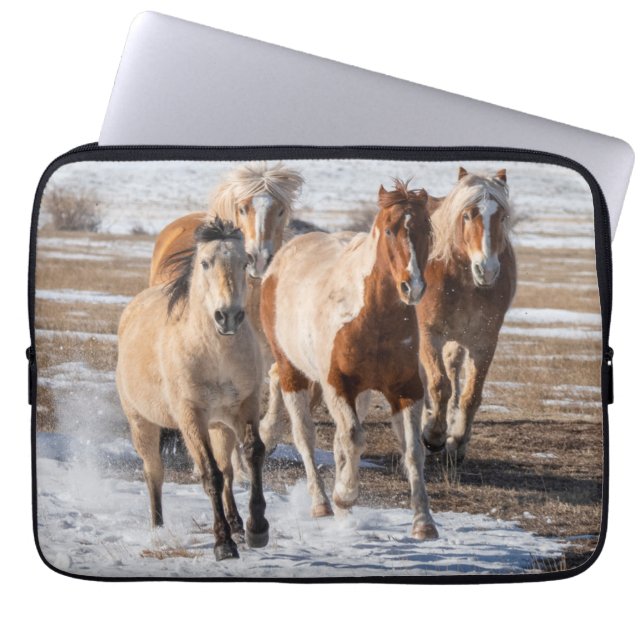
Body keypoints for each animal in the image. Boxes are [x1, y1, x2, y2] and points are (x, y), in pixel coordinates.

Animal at [116, 218, 269, 561]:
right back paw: (158, 530)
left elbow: (252, 454)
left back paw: (237, 524)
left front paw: (256, 529)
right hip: (142, 424)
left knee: (228, 469)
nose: (228, 316)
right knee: (154, 473)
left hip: (220, 426)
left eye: (244, 262)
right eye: (205, 263)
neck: (216, 354)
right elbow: (209, 474)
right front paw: (223, 544)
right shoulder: (190, 417)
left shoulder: (246, 406)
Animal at [261, 180, 438, 540]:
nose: (412, 286)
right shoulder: (338, 385)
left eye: (426, 229)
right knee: (304, 434)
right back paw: (321, 502)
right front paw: (344, 495)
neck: (373, 318)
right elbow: (354, 437)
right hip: (293, 372)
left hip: (357, 391)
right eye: (390, 229)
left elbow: (413, 451)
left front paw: (424, 522)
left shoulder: (406, 389)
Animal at [417, 167, 516, 461]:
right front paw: (433, 436)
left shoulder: (483, 341)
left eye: (502, 216)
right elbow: (439, 385)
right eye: (467, 214)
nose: (487, 270)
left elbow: (471, 394)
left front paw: (457, 440)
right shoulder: (429, 334)